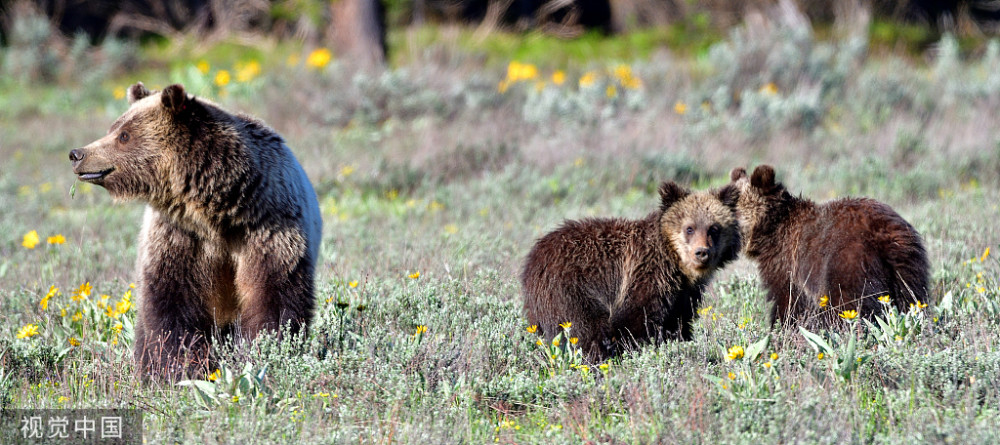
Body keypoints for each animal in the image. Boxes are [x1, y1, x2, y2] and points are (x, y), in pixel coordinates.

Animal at [69, 82, 322, 378]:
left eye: (124, 135)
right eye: (114, 128)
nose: (77, 154)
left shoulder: (268, 228)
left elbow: (273, 298)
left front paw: (265, 352)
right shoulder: (179, 237)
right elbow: (171, 303)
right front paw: (177, 367)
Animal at [521, 181, 741, 362]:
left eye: (714, 228)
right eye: (689, 228)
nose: (702, 252)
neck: (676, 266)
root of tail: (532, 259)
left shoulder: (683, 295)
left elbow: (679, 323)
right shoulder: (645, 276)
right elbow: (634, 321)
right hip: (569, 289)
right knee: (584, 328)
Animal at [729, 165, 930, 326]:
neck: (772, 228)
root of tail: (886, 236)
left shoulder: (787, 264)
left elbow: (788, 301)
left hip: (849, 263)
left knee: (848, 304)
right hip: (908, 266)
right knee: (911, 299)